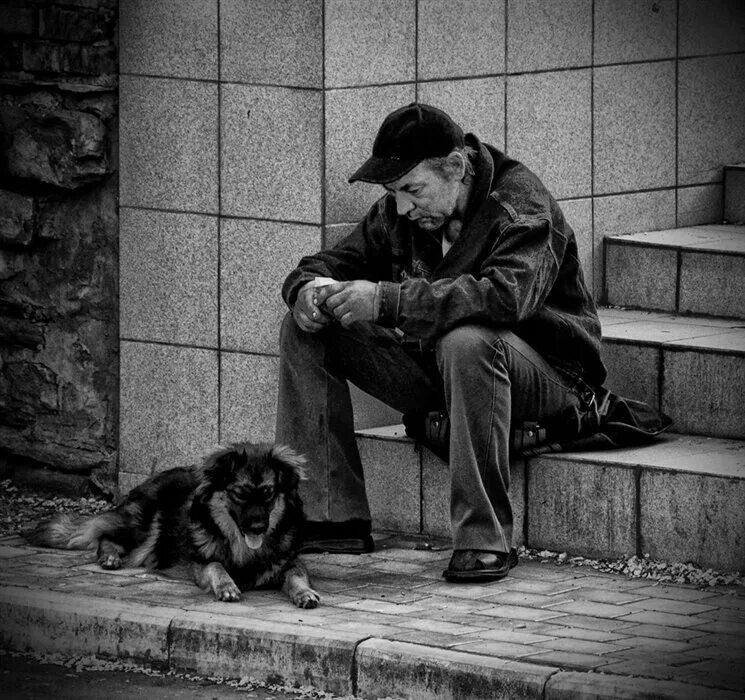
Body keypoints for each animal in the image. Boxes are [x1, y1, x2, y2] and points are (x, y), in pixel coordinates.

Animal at [27, 442, 318, 608]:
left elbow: (296, 576)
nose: (258, 527)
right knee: (106, 536)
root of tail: (150, 479)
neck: (243, 548)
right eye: (240, 494)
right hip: (143, 528)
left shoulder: (288, 561)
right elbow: (216, 565)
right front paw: (227, 586)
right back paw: (109, 557)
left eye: (268, 493)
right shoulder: (199, 563)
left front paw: (305, 593)